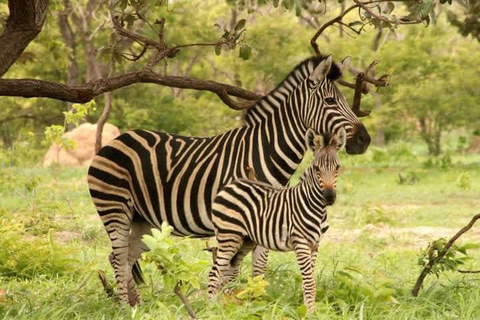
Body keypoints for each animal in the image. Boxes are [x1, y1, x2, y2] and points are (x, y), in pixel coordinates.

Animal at [208, 130, 344, 312]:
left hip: (245, 240)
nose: (329, 197)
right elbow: (309, 282)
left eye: (337, 167)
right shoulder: (300, 242)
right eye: (316, 168)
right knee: (215, 272)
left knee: (227, 272)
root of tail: (228, 186)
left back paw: (226, 306)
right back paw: (209, 307)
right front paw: (310, 312)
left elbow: (309, 281)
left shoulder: (315, 245)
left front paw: (310, 309)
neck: (315, 206)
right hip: (228, 236)